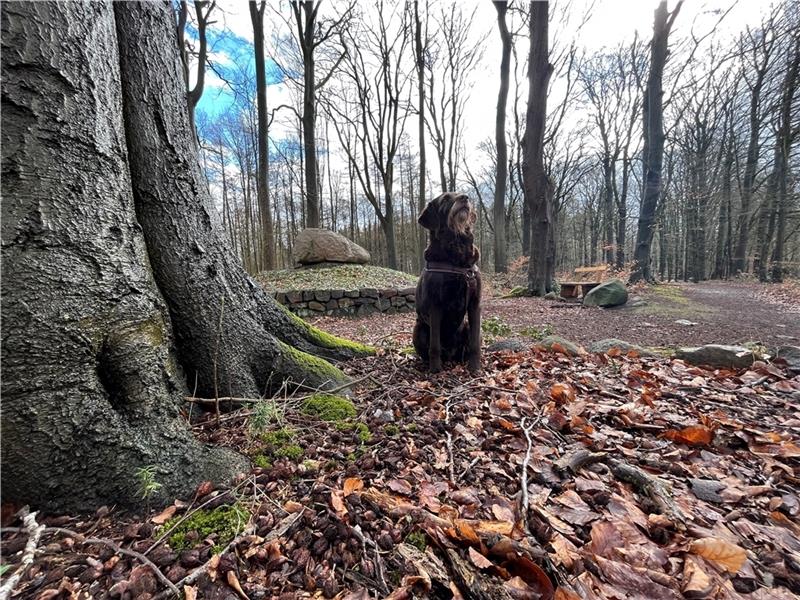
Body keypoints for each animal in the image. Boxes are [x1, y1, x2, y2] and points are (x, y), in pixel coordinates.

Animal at [412, 192, 482, 372]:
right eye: (445, 199)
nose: (465, 197)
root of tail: (451, 355)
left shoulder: (475, 303)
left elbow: (475, 343)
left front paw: (474, 368)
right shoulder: (435, 305)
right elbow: (434, 345)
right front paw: (435, 370)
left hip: (466, 325)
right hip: (418, 329)